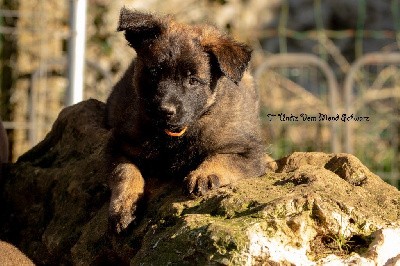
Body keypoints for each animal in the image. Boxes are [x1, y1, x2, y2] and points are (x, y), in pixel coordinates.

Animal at [105, 7, 266, 233]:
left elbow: (223, 158)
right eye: (154, 73)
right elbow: (125, 172)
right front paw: (124, 206)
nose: (164, 110)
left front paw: (203, 175)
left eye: (192, 81)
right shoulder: (118, 144)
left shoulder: (248, 152)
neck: (175, 135)